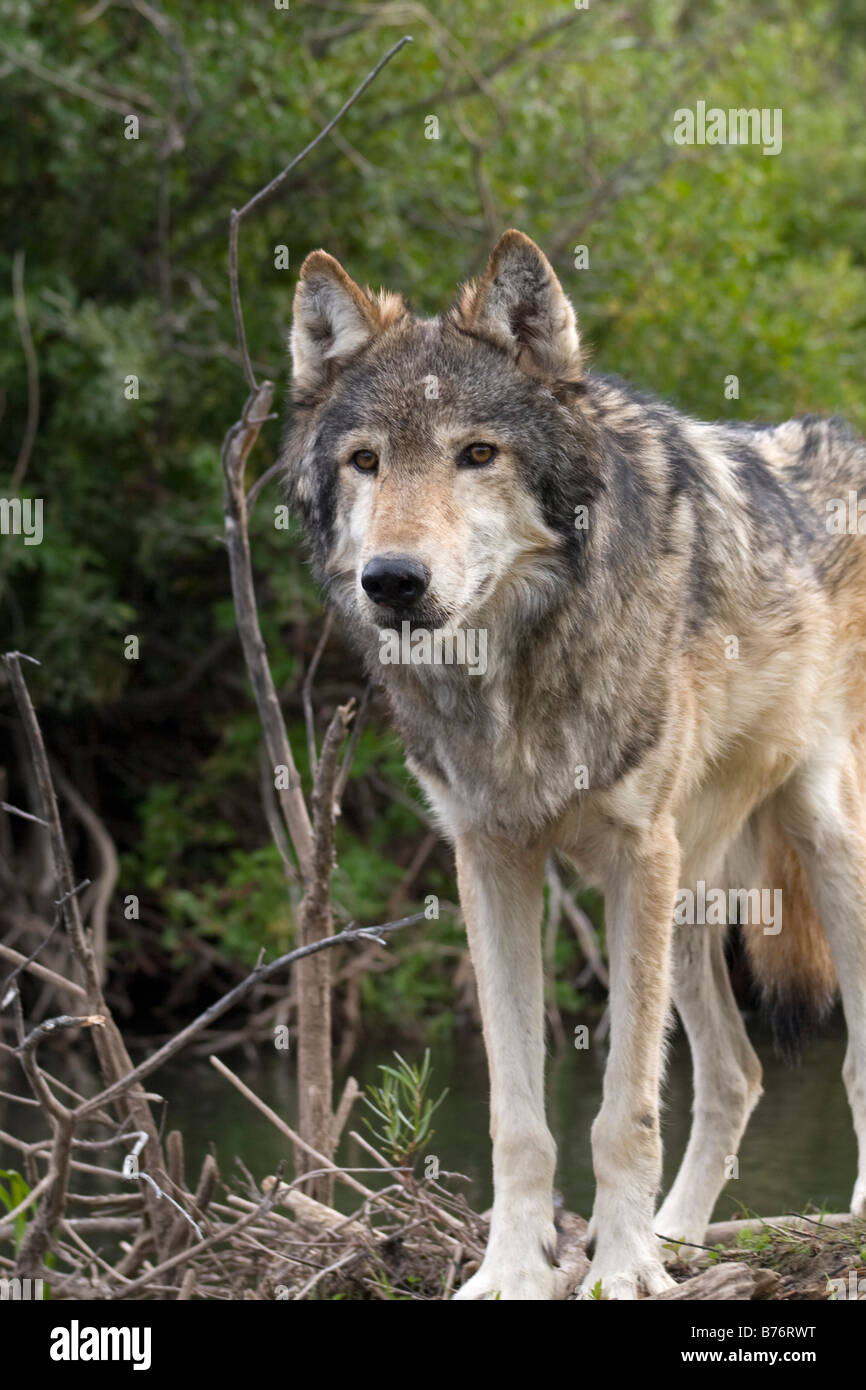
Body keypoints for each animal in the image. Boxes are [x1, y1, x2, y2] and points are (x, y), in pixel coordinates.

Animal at [282, 229, 866, 1299]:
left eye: (477, 453)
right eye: (365, 461)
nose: (393, 580)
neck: (516, 673)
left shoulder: (635, 857)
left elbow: (622, 1110)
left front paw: (620, 1270)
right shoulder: (493, 862)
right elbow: (520, 1119)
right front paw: (518, 1269)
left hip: (818, 844)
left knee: (847, 1063)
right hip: (691, 894)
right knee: (737, 1076)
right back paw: (683, 1243)